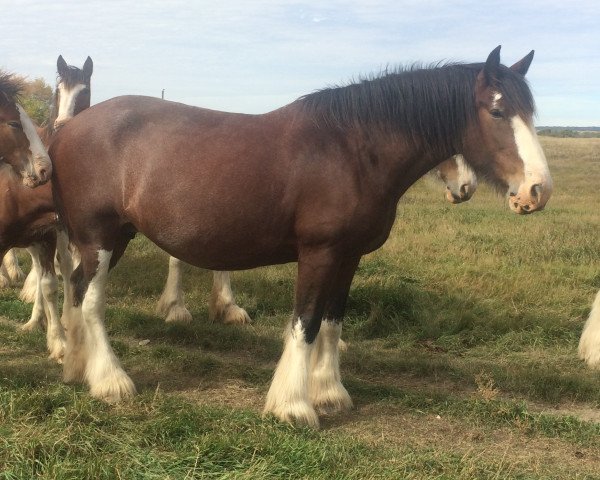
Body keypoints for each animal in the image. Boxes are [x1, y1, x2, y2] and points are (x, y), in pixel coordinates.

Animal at [49, 46, 552, 428]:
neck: (351, 149)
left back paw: (76, 368)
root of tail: (66, 131)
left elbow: (332, 322)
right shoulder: (319, 253)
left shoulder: (349, 257)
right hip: (100, 237)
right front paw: (293, 406)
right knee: (90, 302)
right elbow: (305, 322)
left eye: (530, 112)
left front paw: (330, 393)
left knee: (75, 289)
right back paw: (111, 381)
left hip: (114, 238)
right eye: (496, 110)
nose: (537, 190)